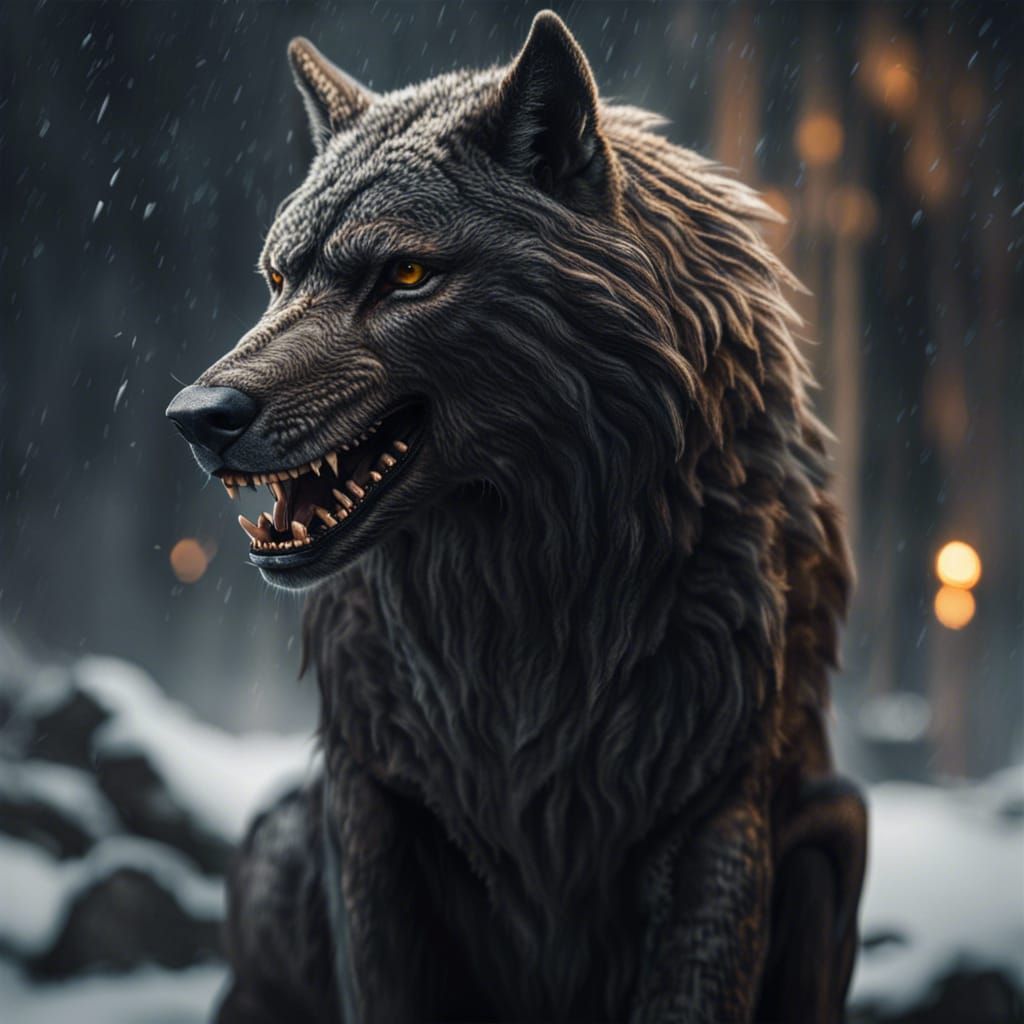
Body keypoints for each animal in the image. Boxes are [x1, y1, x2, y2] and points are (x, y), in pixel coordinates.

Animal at [166, 12, 866, 1023]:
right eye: (277, 277)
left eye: (406, 274)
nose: (196, 416)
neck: (527, 608)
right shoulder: (373, 808)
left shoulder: (723, 809)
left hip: (833, 828)